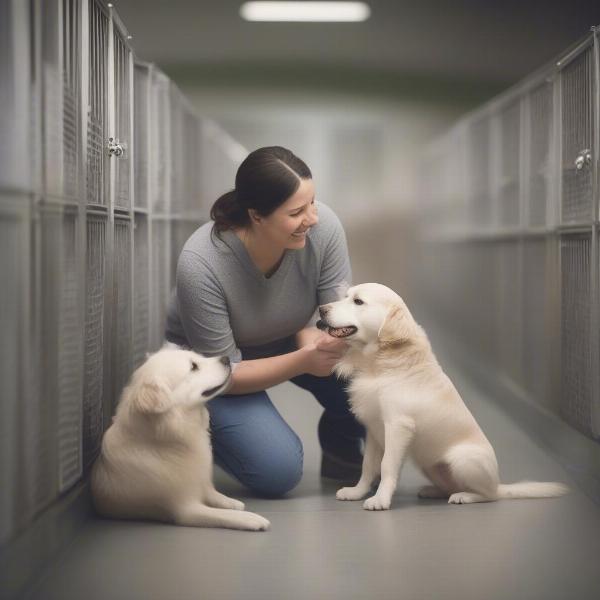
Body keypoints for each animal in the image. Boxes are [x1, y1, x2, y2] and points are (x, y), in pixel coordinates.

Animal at [91, 346, 270, 528]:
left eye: (197, 357)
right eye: (193, 367)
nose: (226, 359)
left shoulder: (200, 482)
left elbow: (213, 494)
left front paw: (232, 502)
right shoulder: (185, 510)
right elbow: (222, 515)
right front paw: (251, 518)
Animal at [316, 284, 568, 508]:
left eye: (358, 301)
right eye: (345, 296)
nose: (321, 309)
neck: (378, 363)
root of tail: (498, 484)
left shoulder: (398, 427)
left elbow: (387, 466)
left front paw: (380, 500)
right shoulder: (374, 430)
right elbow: (368, 465)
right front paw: (356, 492)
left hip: (463, 460)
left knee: (488, 495)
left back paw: (464, 496)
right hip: (430, 465)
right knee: (452, 487)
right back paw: (433, 490)